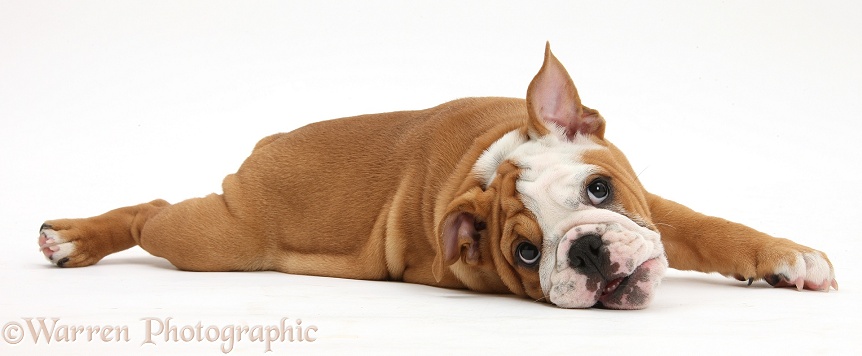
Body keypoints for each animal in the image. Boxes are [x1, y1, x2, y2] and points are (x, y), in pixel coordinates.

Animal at [38, 42, 836, 308]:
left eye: (599, 190)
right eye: (525, 252)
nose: (583, 250)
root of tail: (264, 149)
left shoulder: (651, 207)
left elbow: (708, 226)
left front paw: (789, 259)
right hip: (215, 238)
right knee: (155, 210)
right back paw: (74, 237)